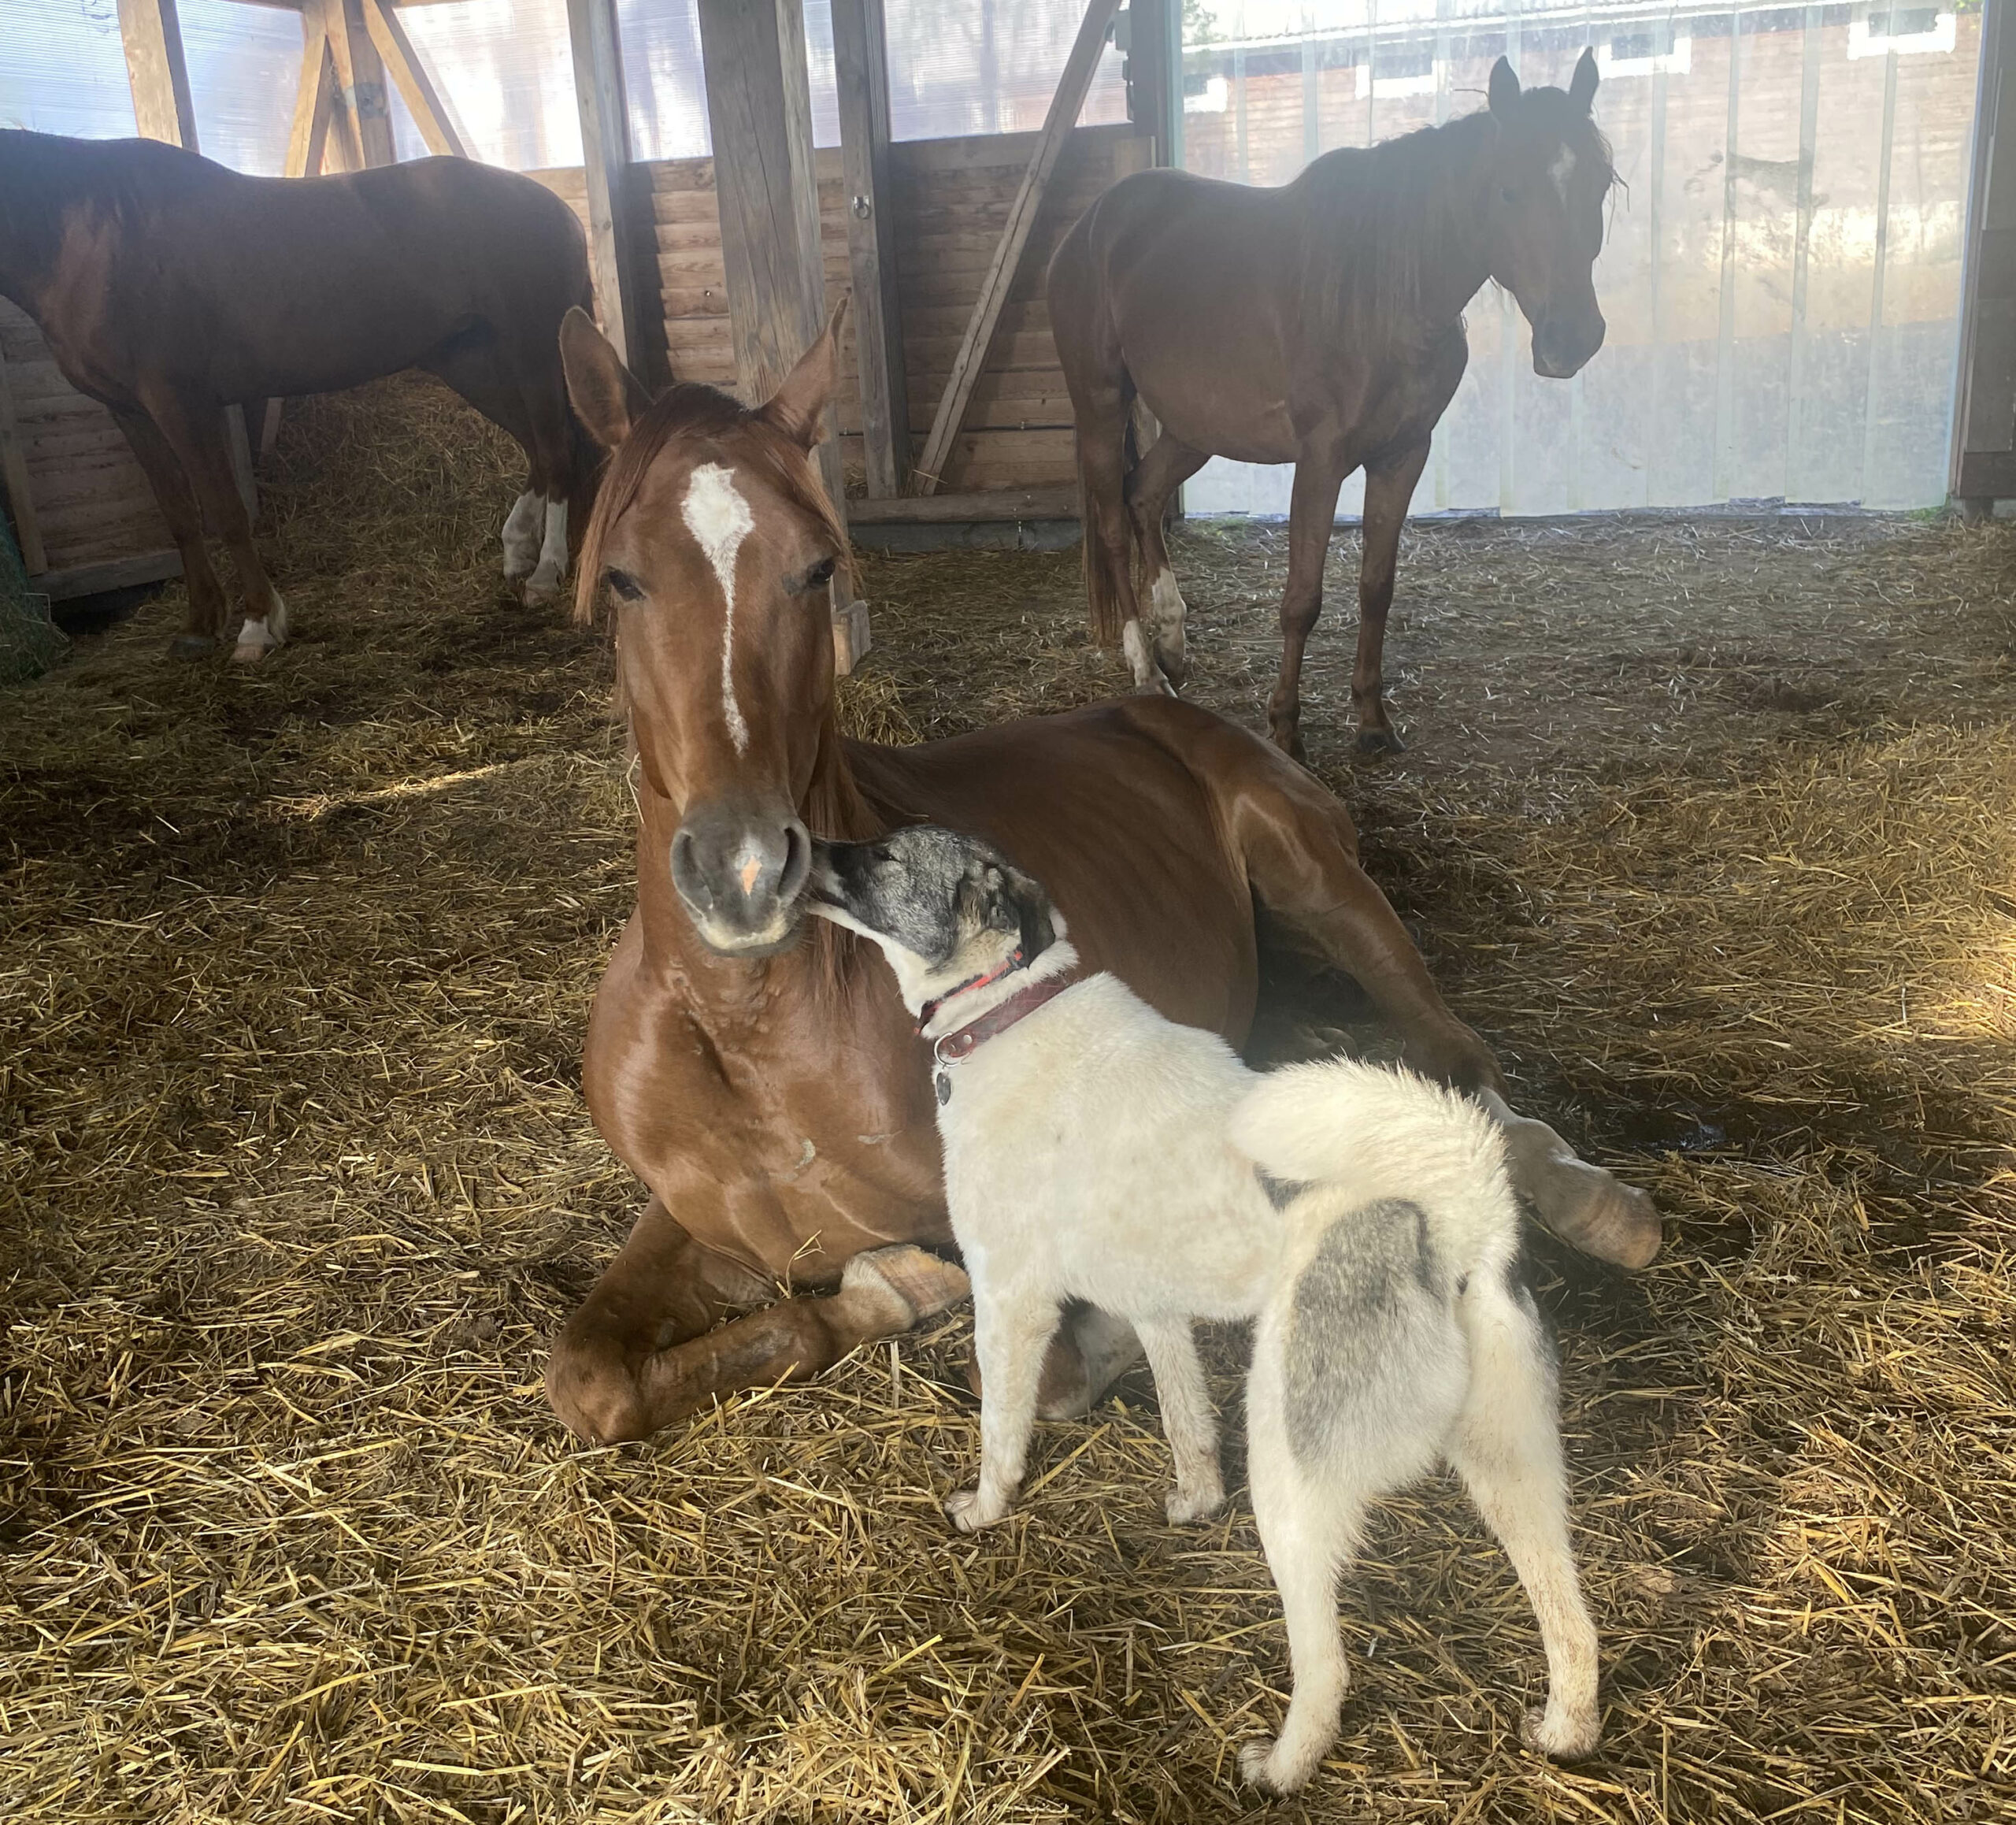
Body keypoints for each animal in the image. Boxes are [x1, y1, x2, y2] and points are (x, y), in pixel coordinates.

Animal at [0, 130, 594, 660]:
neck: (88, 238)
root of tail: (558, 210)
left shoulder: (183, 403)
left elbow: (225, 512)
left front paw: (257, 626)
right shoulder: (129, 411)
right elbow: (179, 515)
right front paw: (197, 628)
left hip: (532, 354)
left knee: (557, 450)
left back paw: (545, 572)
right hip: (470, 362)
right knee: (539, 449)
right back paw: (517, 549)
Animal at [538, 299, 1661, 1447]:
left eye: (815, 569)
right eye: (622, 576)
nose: (746, 871)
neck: (757, 1031)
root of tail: (1154, 703)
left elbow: (1052, 1358)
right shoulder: (702, 1225)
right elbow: (590, 1376)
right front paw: (889, 1286)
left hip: (1319, 880)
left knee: (1453, 1055)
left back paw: (1593, 1201)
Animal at [1048, 53, 1613, 756]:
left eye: (1599, 184)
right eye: (1509, 190)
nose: (1573, 339)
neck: (1384, 295)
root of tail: (1090, 227)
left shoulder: (1402, 454)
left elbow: (1376, 587)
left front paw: (1372, 719)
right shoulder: (1321, 461)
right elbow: (1303, 600)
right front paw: (1285, 727)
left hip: (1192, 428)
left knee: (1142, 497)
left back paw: (1174, 640)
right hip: (1101, 405)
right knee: (1109, 522)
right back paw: (1147, 670)